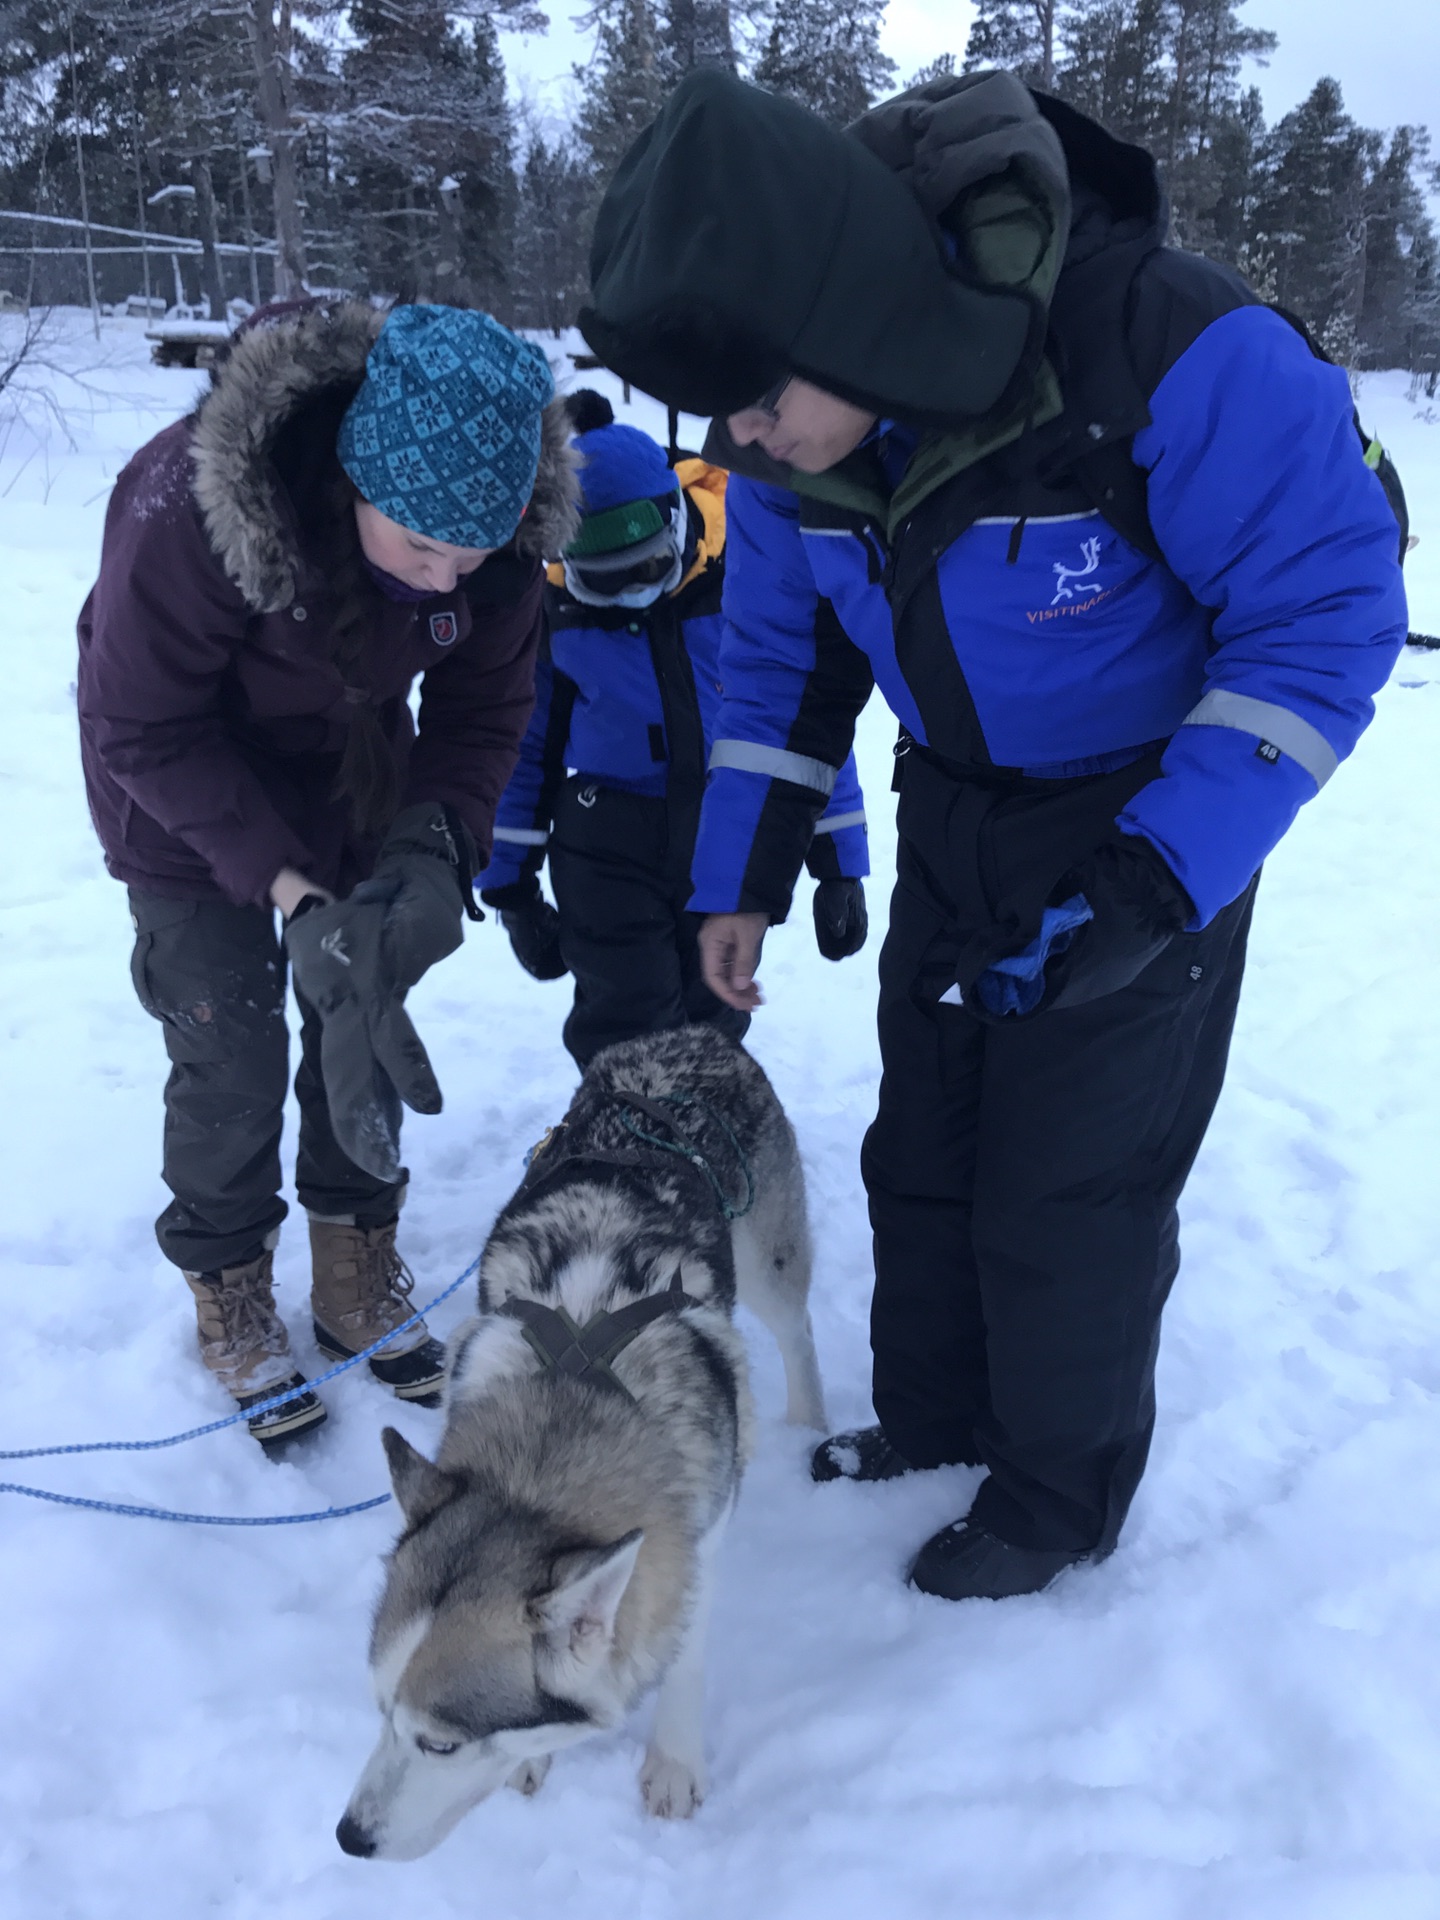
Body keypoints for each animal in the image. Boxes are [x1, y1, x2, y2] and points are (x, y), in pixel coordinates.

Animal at [337, 1036, 829, 1858]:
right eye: (379, 1711)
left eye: (441, 1743)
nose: (349, 1837)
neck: (576, 1387)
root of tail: (688, 1033)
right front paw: (530, 1766)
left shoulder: (696, 1535)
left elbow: (685, 1648)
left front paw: (673, 1763)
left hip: (771, 1263)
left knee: (797, 1333)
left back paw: (812, 1423)